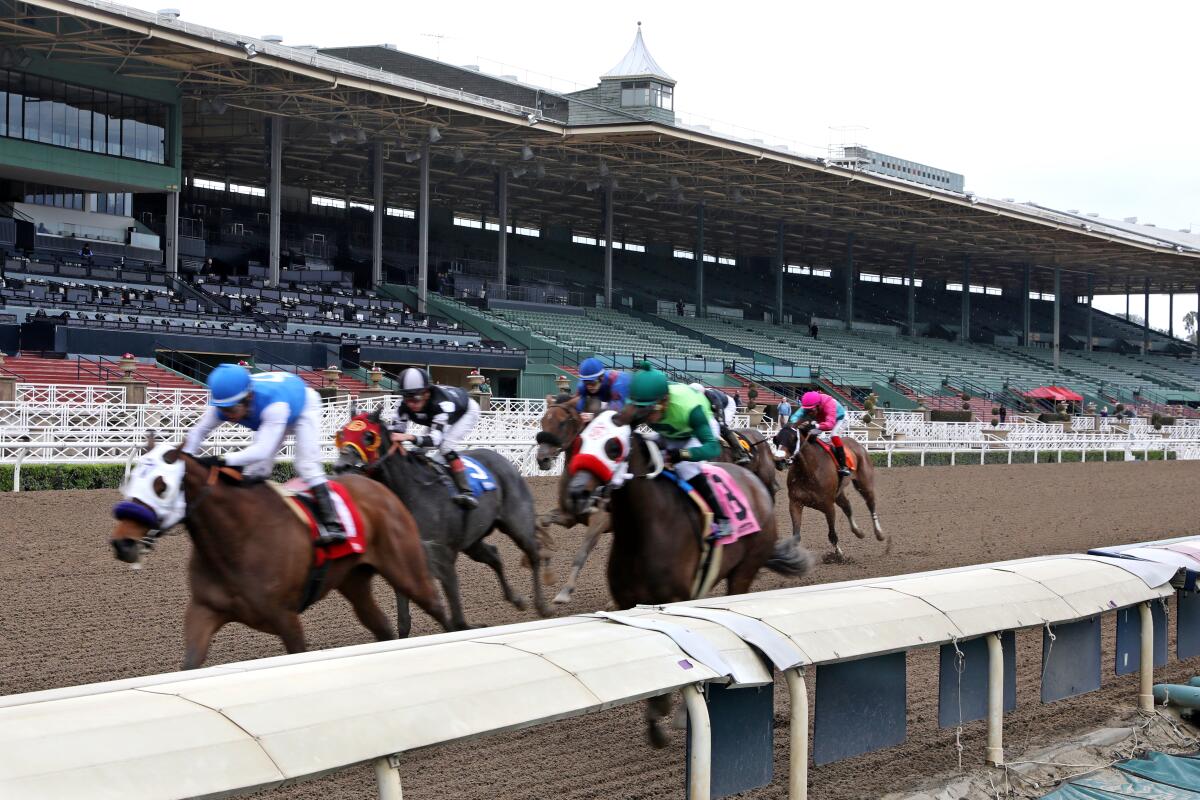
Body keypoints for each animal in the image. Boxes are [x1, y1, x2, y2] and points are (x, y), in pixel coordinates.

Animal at [111, 443, 451, 671]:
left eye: (161, 486)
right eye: (132, 478)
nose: (122, 543)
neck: (237, 540)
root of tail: (379, 487)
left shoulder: (286, 618)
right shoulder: (204, 610)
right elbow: (190, 664)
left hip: (406, 570)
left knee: (438, 608)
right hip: (354, 581)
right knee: (382, 627)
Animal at [338, 412, 552, 633]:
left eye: (368, 436)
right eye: (342, 433)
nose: (342, 466)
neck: (413, 492)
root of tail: (506, 462)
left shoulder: (443, 557)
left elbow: (456, 619)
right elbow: (404, 621)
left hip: (518, 525)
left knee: (534, 554)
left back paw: (542, 606)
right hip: (472, 541)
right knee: (494, 555)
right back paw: (516, 599)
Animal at [772, 419, 888, 563]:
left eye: (794, 439)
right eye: (776, 439)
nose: (778, 461)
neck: (809, 470)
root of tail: (857, 444)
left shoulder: (828, 506)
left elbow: (832, 535)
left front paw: (839, 556)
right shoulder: (795, 503)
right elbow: (796, 536)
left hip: (864, 483)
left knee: (871, 504)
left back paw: (879, 533)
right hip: (838, 493)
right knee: (847, 506)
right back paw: (858, 531)